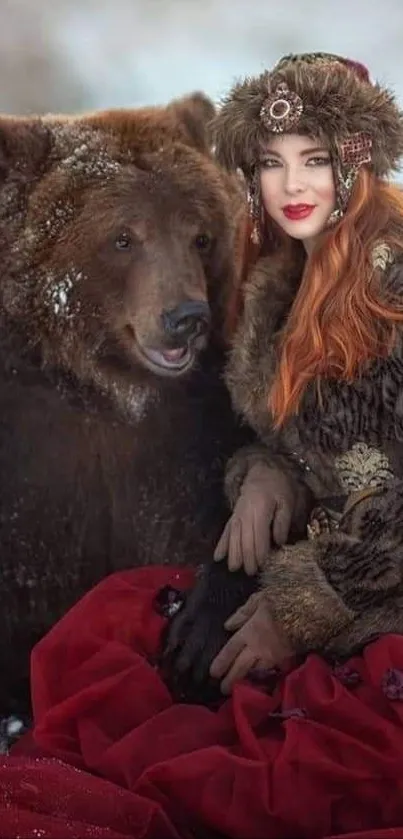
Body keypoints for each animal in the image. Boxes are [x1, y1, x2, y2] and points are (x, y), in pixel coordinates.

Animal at [0, 93, 254, 716]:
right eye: (123, 237)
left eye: (200, 235)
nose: (186, 317)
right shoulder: (31, 448)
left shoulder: (193, 423)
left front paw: (201, 629)